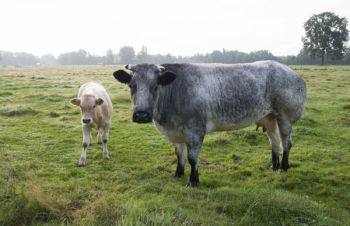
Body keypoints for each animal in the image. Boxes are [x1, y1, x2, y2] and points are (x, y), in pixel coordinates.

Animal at [113, 61, 306, 186]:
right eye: (131, 85)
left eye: (155, 86)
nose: (141, 114)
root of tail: (292, 72)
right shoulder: (177, 132)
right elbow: (179, 154)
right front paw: (178, 174)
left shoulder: (195, 131)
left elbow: (192, 158)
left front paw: (193, 180)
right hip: (269, 117)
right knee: (274, 141)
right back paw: (274, 165)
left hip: (285, 117)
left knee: (286, 142)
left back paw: (284, 167)